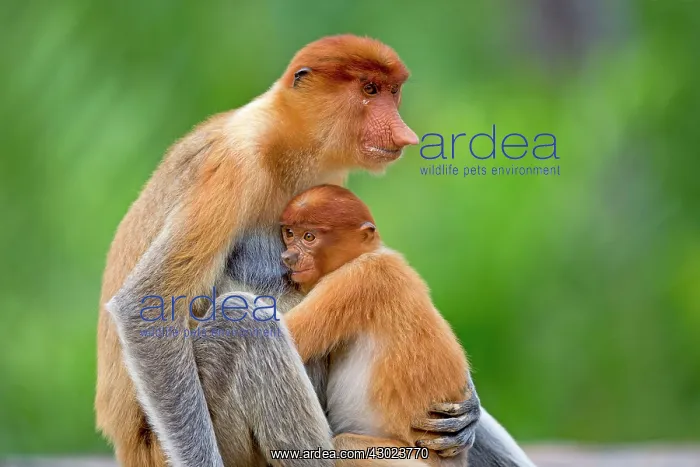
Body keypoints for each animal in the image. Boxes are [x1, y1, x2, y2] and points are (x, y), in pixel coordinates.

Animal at [279, 184, 470, 467]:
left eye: (309, 237)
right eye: (290, 233)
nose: (289, 257)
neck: (368, 253)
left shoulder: (358, 278)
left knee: (344, 446)